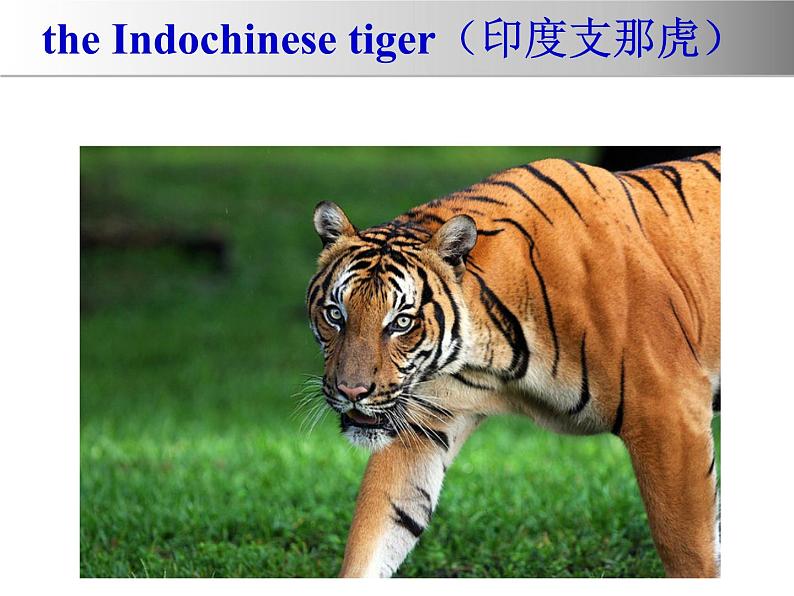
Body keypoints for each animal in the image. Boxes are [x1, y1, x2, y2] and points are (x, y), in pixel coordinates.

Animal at [305, 150, 721, 578]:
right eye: (335, 314)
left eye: (401, 322)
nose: (351, 392)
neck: (485, 356)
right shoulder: (422, 425)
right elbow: (378, 530)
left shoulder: (670, 413)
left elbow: (688, 549)